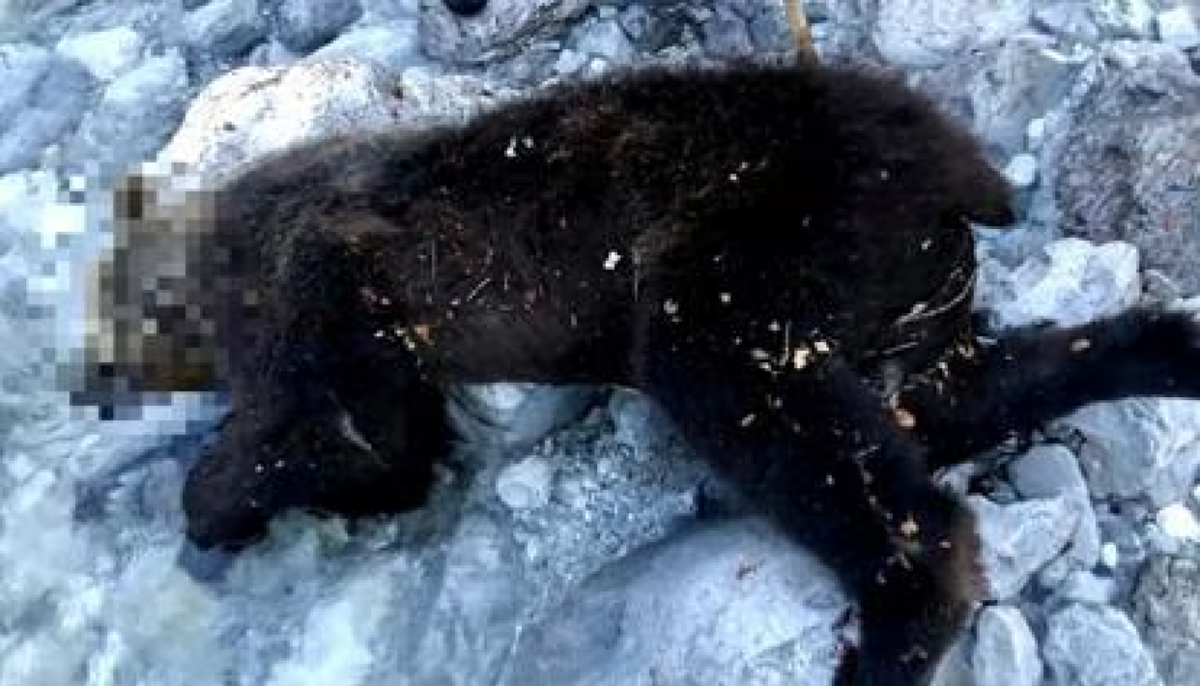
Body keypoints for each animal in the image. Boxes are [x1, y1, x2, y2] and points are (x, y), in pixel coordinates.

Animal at [78, 58, 1200, 685]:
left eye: (110, 312)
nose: (90, 383)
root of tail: (958, 171)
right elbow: (401, 445)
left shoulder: (326, 267)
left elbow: (332, 416)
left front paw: (217, 497)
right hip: (902, 287)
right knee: (960, 390)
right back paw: (1160, 347)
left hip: (764, 231)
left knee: (778, 409)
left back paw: (890, 634)